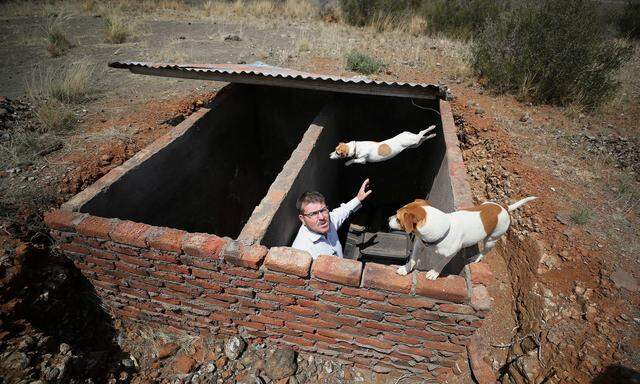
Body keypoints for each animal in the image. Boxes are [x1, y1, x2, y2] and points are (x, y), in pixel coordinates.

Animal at [388, 198, 536, 280]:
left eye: (398, 219)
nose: (388, 218)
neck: (442, 228)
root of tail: (503, 208)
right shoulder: (419, 245)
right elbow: (413, 259)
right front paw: (405, 269)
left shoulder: (449, 255)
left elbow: (440, 264)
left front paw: (434, 273)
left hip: (491, 239)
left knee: (484, 251)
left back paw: (476, 257)